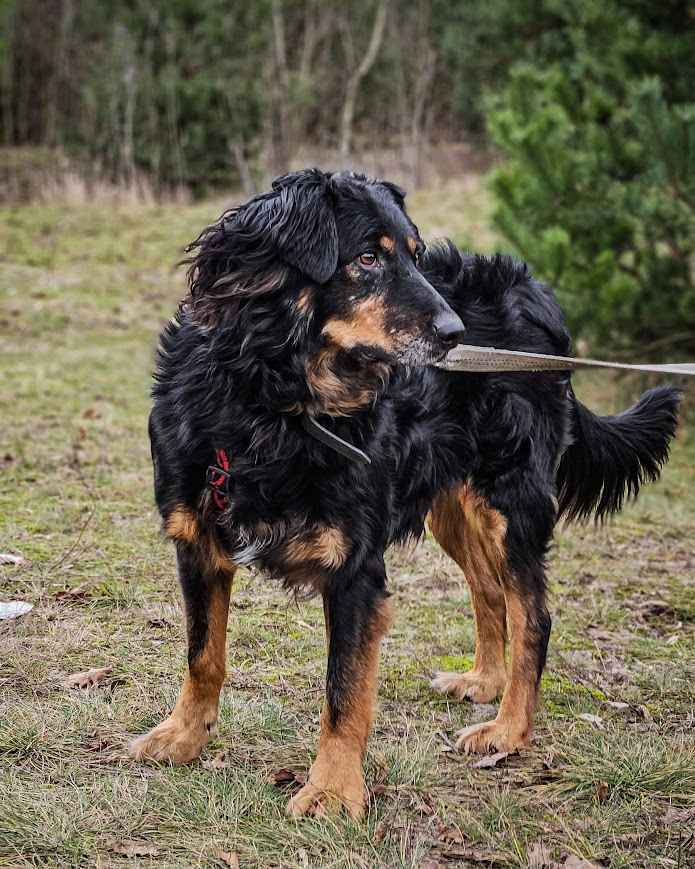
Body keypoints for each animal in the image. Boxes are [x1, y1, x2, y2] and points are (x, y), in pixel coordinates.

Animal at [129, 166, 680, 816]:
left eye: (416, 258)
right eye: (367, 258)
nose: (455, 334)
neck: (272, 404)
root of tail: (538, 296)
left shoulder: (355, 568)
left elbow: (344, 691)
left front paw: (332, 792)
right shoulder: (197, 543)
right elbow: (203, 655)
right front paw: (183, 736)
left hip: (510, 504)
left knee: (534, 616)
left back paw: (508, 730)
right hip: (454, 507)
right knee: (489, 592)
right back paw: (483, 682)